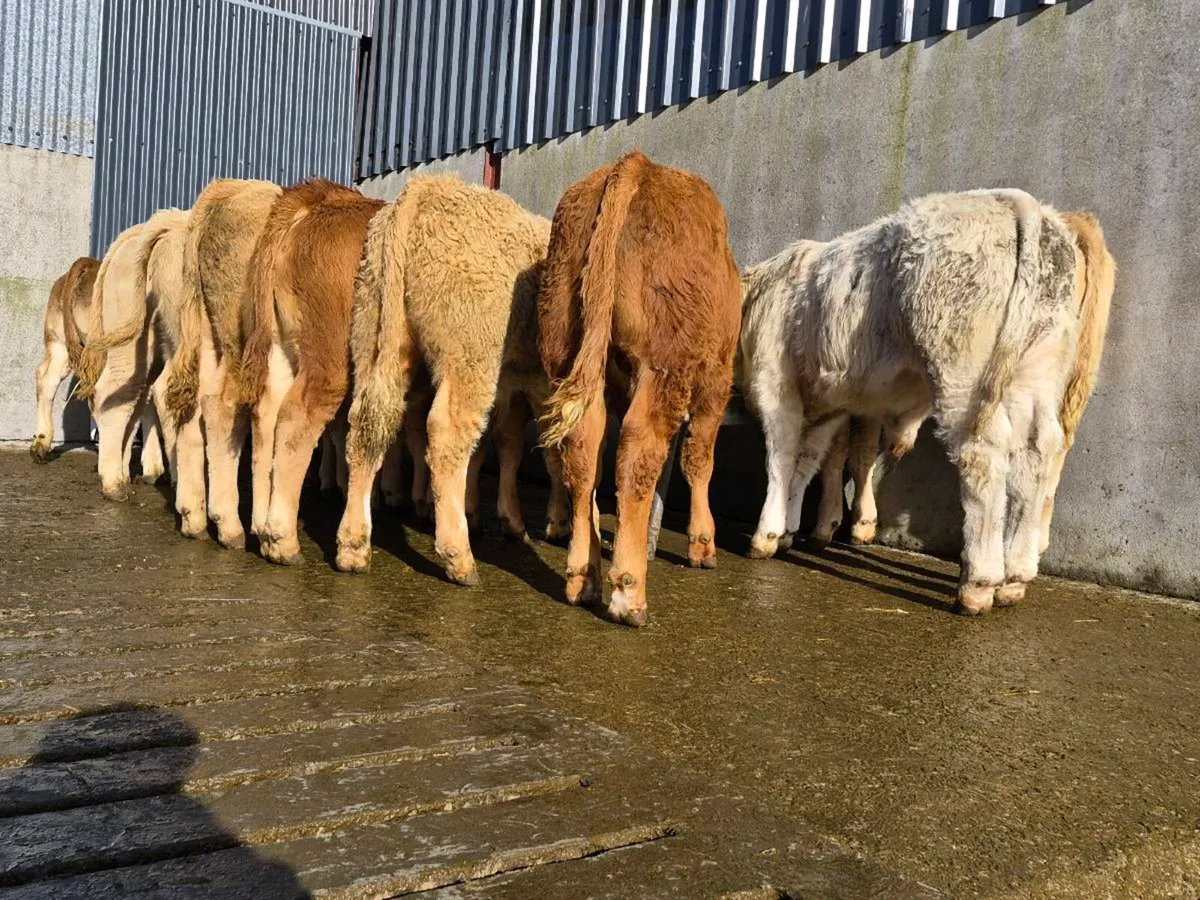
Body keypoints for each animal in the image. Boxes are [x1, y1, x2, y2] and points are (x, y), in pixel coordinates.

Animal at [166, 178, 282, 549]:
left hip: (205, 329)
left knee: (194, 401)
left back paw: (194, 516)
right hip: (238, 333)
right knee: (226, 406)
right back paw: (232, 524)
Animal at [239, 179, 385, 565]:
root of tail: (321, 199)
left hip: (280, 345)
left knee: (266, 412)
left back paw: (261, 526)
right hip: (329, 356)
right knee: (296, 418)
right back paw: (282, 540)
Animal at [335, 174, 569, 584]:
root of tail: (428, 186)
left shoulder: (518, 385)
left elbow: (506, 446)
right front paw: (559, 524)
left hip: (372, 331)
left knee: (367, 423)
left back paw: (353, 546)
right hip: (470, 353)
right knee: (447, 435)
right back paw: (458, 555)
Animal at [538, 151, 743, 627]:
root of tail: (637, 165)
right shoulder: (716, 383)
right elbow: (699, 460)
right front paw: (703, 543)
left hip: (568, 350)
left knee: (583, 449)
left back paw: (583, 577)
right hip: (665, 365)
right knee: (638, 450)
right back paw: (628, 593)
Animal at [739, 189, 1104, 615]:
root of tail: (1013, 202)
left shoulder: (775, 383)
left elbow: (781, 457)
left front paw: (766, 535)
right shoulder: (831, 405)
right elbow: (806, 461)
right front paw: (787, 530)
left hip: (964, 375)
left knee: (983, 455)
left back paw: (978, 583)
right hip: (1036, 371)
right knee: (1037, 452)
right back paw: (1015, 577)